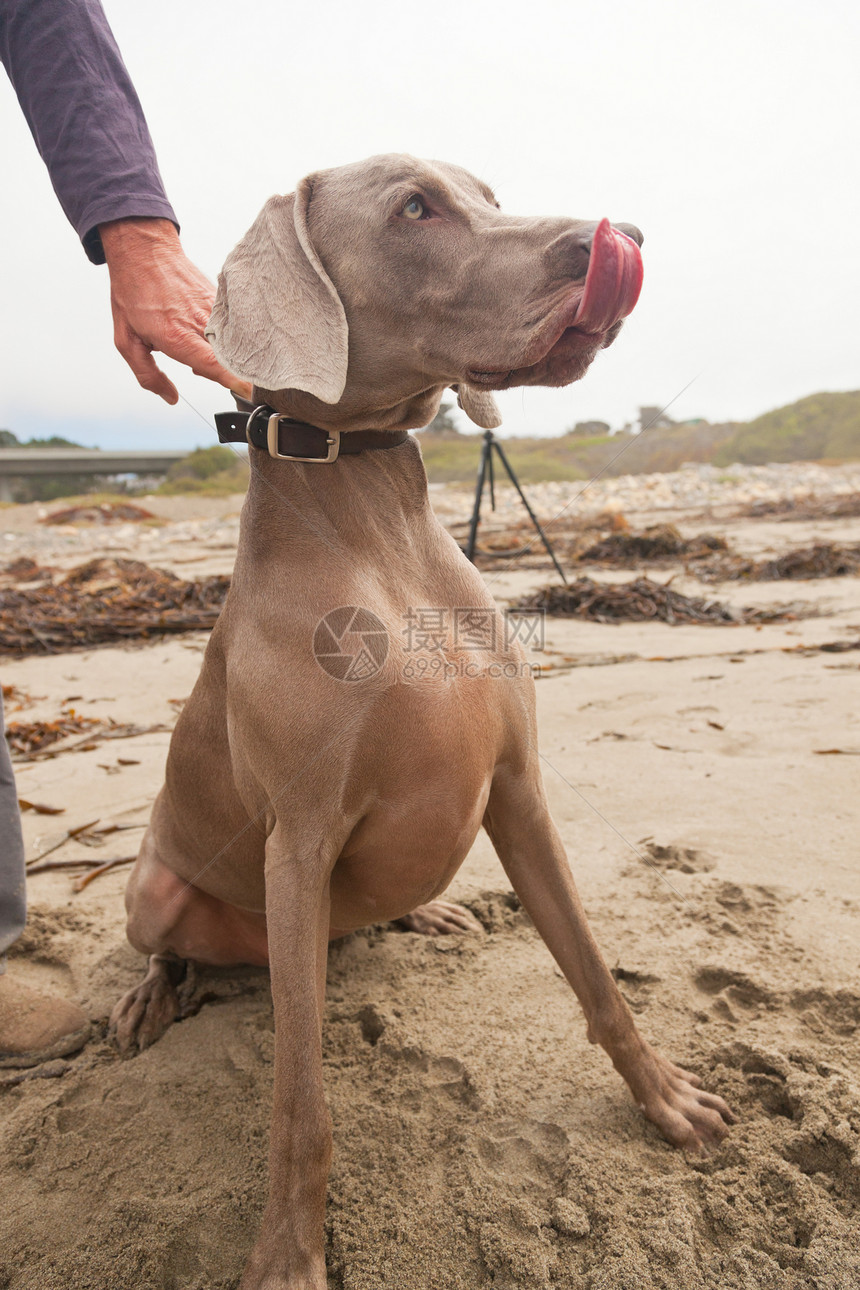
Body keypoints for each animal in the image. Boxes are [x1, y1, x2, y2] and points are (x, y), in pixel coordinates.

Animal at [110, 156, 737, 1284]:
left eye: (486, 195)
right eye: (414, 208)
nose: (618, 236)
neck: (379, 529)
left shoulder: (520, 790)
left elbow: (597, 977)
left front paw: (666, 1099)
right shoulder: (297, 842)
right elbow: (300, 1105)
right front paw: (287, 1254)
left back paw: (426, 914)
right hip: (159, 888)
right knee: (165, 943)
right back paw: (149, 995)